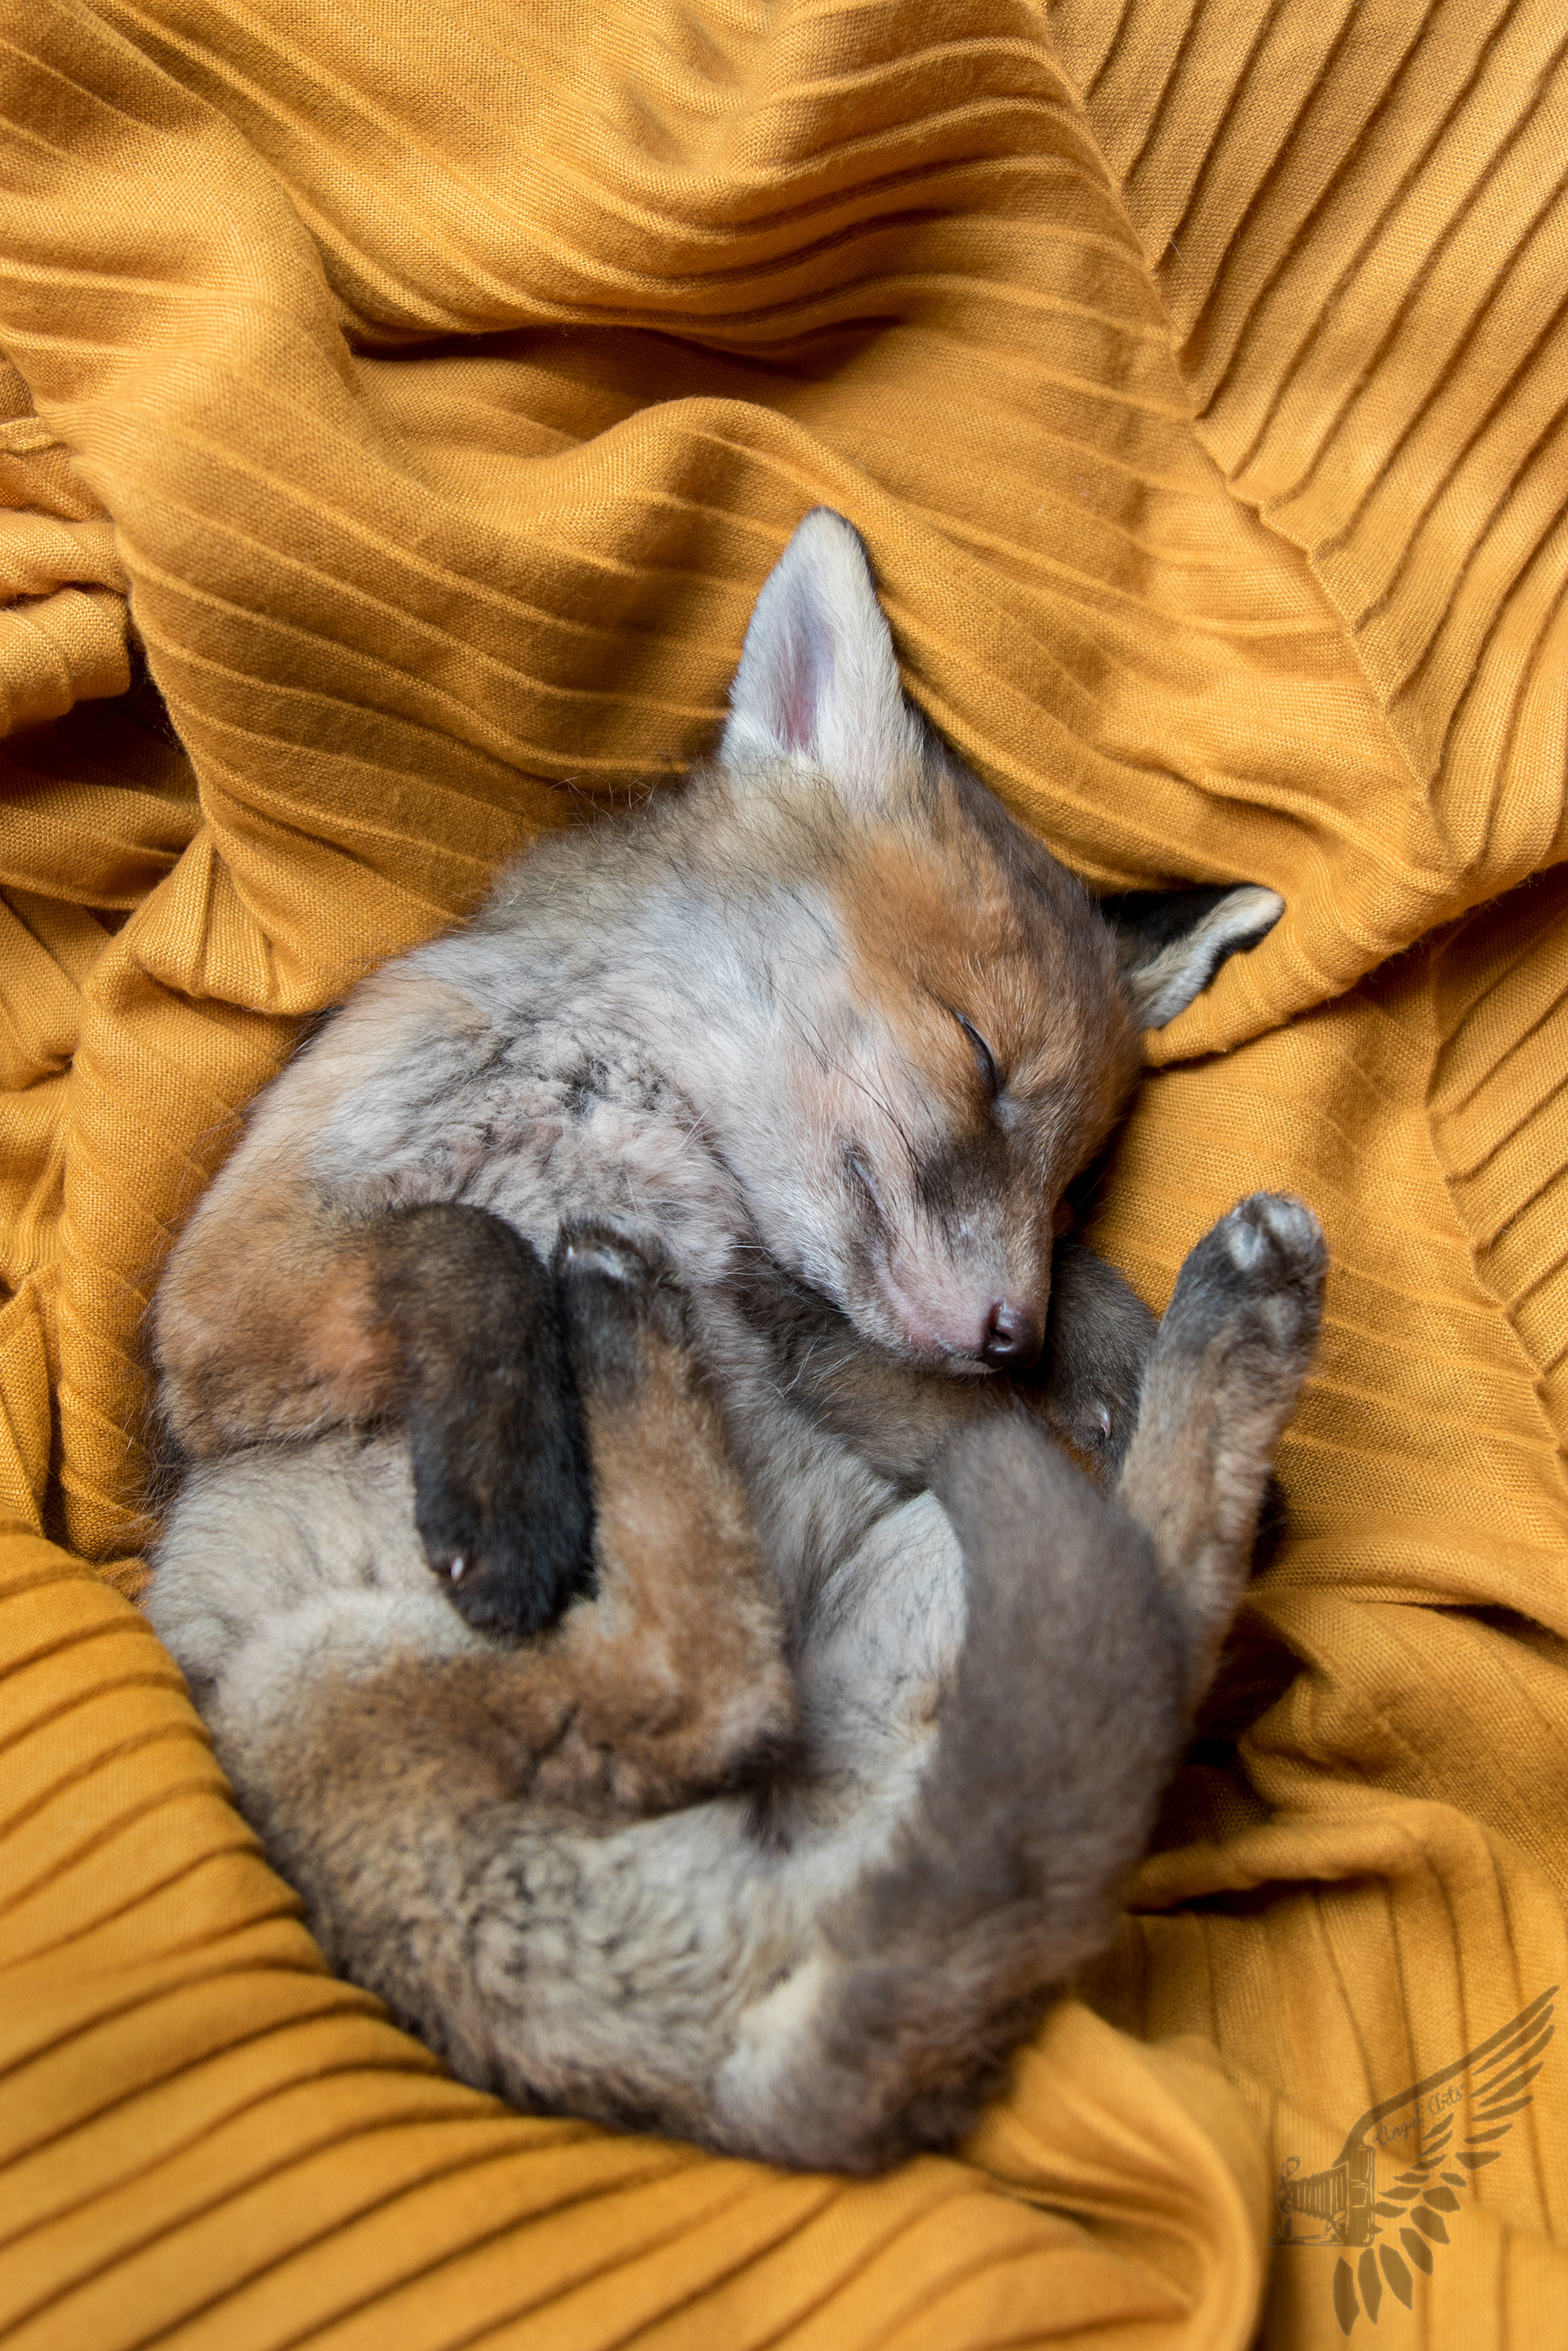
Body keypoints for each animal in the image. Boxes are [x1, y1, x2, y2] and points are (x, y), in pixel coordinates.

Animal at [147, 509, 1325, 2172]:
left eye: (1076, 1175)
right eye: (983, 1061)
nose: (1010, 1337)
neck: (654, 1119)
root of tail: (739, 2095)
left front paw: (1107, 1335)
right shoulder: (223, 1302)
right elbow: (471, 1239)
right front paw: (511, 1490)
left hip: (937, 1586)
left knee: (1069, 1629)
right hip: (317, 1683)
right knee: (721, 1676)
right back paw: (621, 1338)